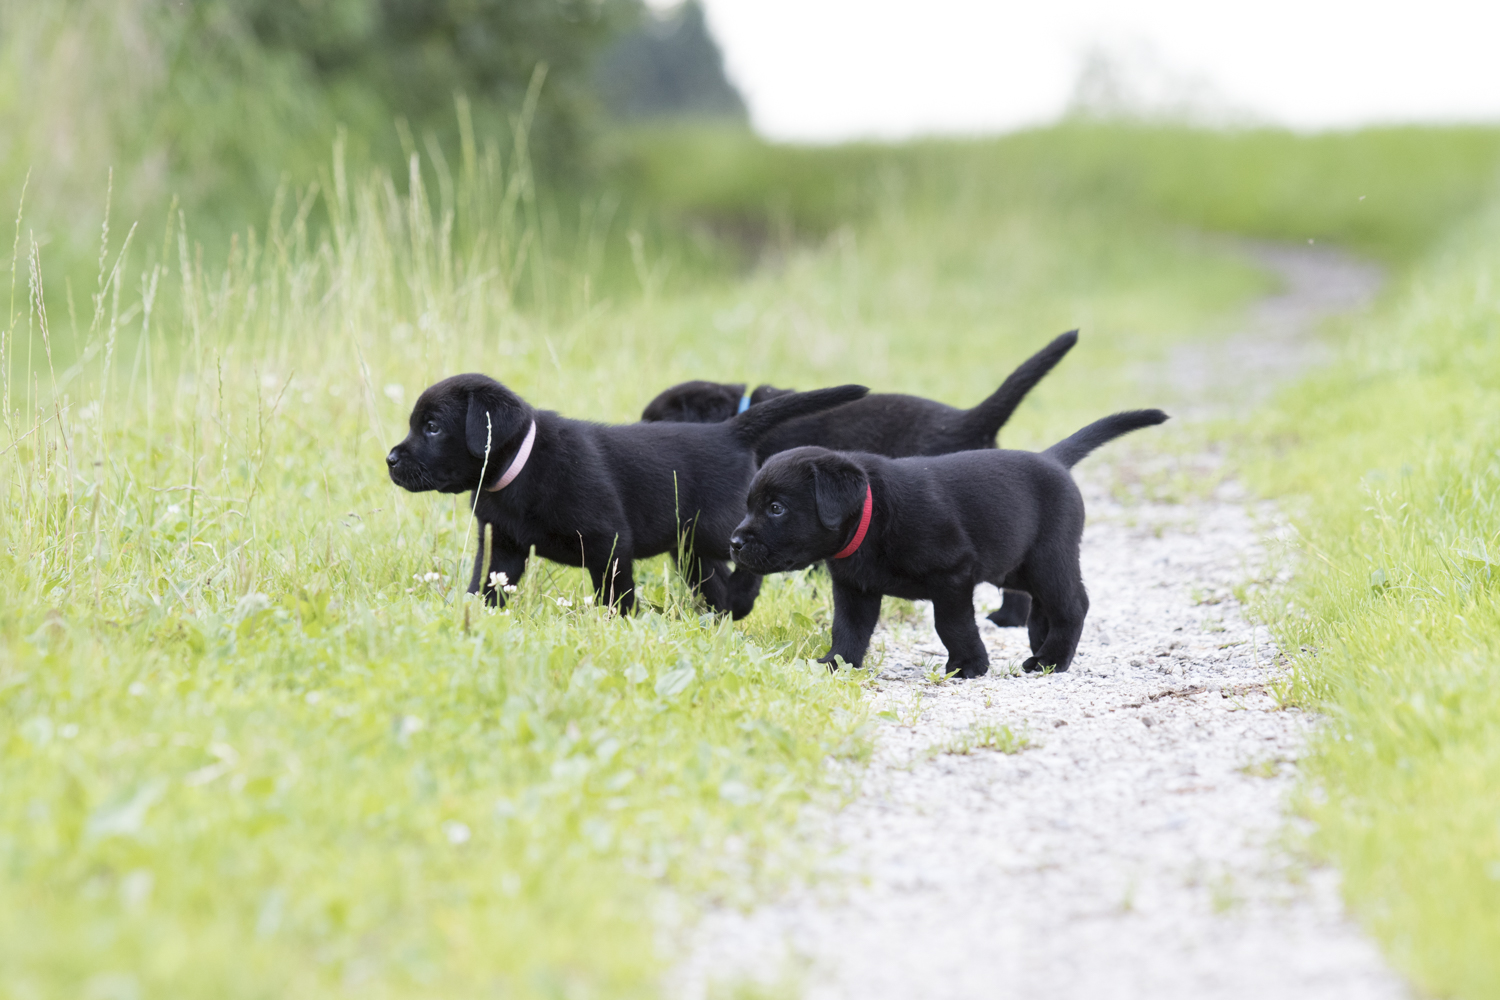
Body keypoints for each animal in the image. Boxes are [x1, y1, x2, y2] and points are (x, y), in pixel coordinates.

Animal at [386, 373, 867, 617]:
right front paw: (475, 614)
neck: (521, 466)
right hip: (691, 550)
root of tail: (728, 431)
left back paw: (742, 602)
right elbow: (486, 584)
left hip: (721, 530)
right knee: (715, 582)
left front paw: (617, 625)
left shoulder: (609, 541)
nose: (389, 458)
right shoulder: (501, 546)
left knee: (756, 558)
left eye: (432, 427)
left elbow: (616, 593)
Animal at [728, 409, 1169, 678]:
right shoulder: (854, 588)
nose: (733, 542)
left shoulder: (952, 575)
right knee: (1045, 604)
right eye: (749, 504)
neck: (873, 517)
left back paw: (1050, 659)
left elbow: (952, 624)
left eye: (776, 508)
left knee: (1073, 604)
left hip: (1049, 557)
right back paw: (1040, 644)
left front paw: (969, 665)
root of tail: (1053, 460)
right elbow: (847, 629)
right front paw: (837, 663)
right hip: (1016, 567)